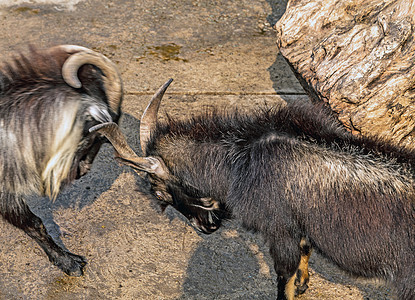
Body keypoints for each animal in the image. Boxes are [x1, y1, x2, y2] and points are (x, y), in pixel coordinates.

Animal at [93, 80, 415, 300]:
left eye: (159, 192)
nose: (204, 227)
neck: (242, 156)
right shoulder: (295, 223)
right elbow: (304, 251)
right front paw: (303, 283)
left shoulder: (277, 227)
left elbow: (284, 274)